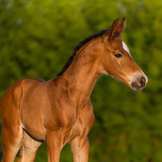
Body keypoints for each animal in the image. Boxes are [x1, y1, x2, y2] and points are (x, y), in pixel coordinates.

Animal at [0, 18, 148, 162]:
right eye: (117, 54)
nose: (142, 80)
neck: (74, 98)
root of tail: (12, 89)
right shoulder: (54, 139)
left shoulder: (81, 141)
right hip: (12, 137)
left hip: (31, 142)